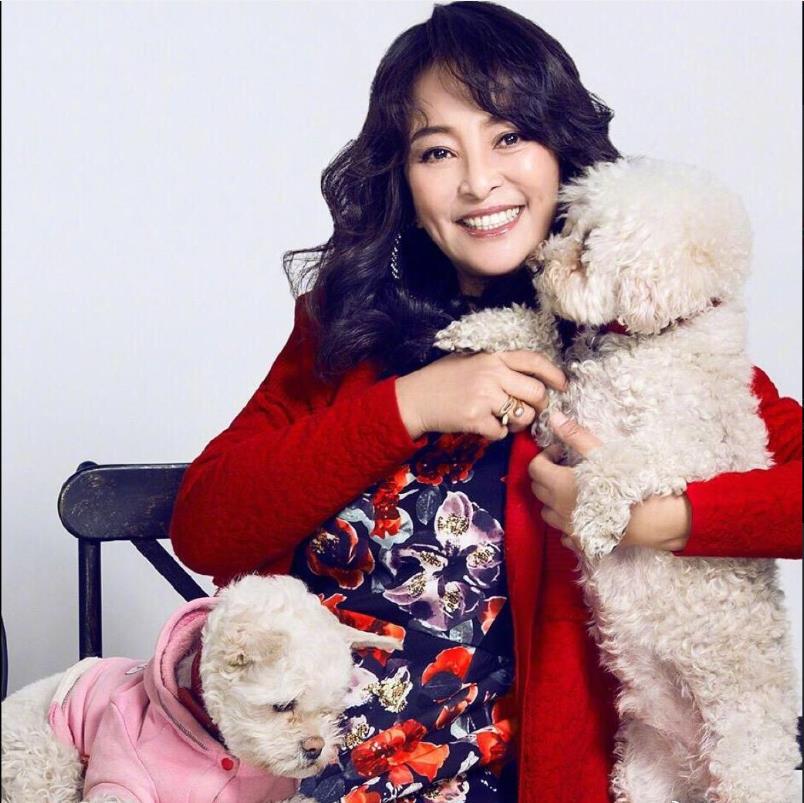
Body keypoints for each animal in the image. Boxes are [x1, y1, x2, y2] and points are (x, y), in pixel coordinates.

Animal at [434, 157, 800, 802]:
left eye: (585, 250)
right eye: (567, 226)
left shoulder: (675, 449)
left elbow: (622, 462)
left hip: (747, 767)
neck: (655, 340)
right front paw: (478, 329)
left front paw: (596, 518)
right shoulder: (567, 416)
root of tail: (694, 769)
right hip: (642, 773)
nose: (534, 264)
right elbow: (542, 344)